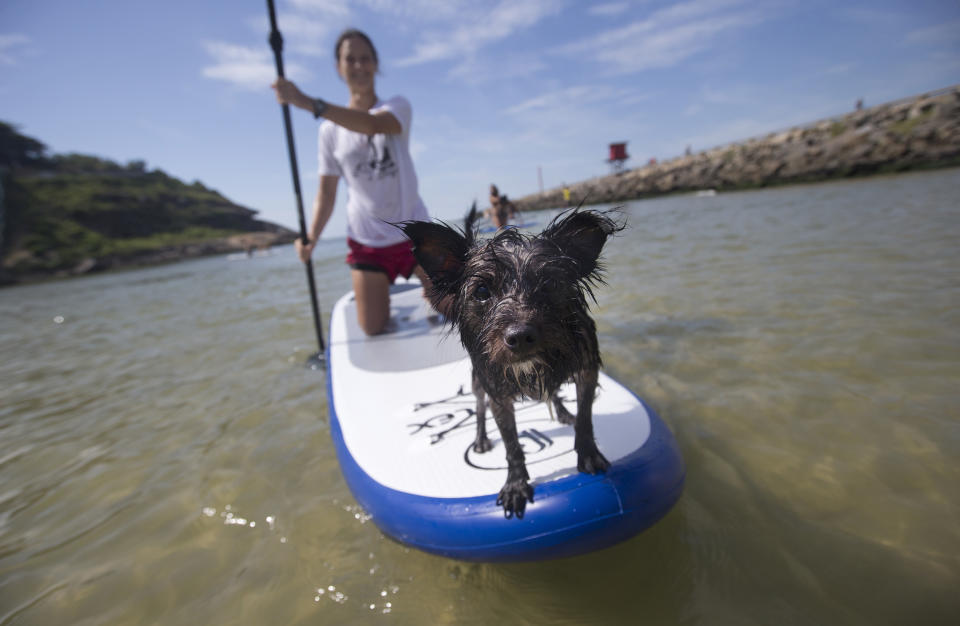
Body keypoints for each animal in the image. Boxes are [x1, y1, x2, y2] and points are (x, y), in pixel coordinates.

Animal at [400, 206, 620, 516]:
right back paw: (481, 439)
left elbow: (585, 419)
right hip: (477, 382)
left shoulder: (587, 370)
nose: (520, 336)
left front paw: (588, 454)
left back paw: (563, 411)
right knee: (479, 410)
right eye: (481, 292)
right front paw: (516, 484)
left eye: (550, 283)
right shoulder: (498, 395)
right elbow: (512, 444)